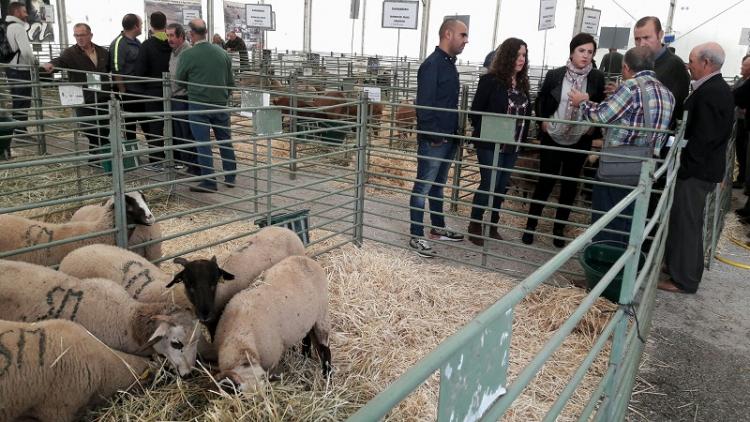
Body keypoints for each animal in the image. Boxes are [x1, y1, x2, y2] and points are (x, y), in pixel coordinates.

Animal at [212, 254, 328, 392]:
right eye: (240, 393)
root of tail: (306, 259)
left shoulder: (271, 361)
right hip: (309, 318)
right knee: (307, 336)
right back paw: (306, 356)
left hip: (322, 314)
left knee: (325, 347)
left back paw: (327, 377)